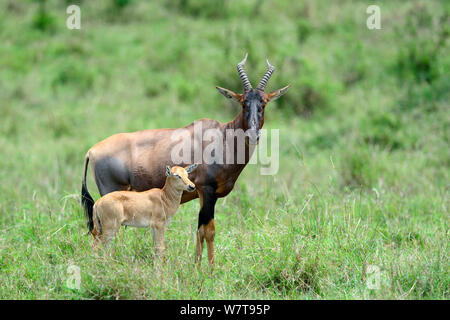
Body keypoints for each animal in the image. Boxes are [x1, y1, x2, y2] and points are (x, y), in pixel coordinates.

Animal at [82, 54, 290, 264]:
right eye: (243, 103)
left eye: (263, 103)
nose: (253, 135)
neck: (222, 136)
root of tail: (91, 151)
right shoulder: (207, 190)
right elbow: (209, 231)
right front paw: (211, 268)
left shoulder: (204, 194)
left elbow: (200, 231)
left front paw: (196, 266)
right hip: (111, 193)